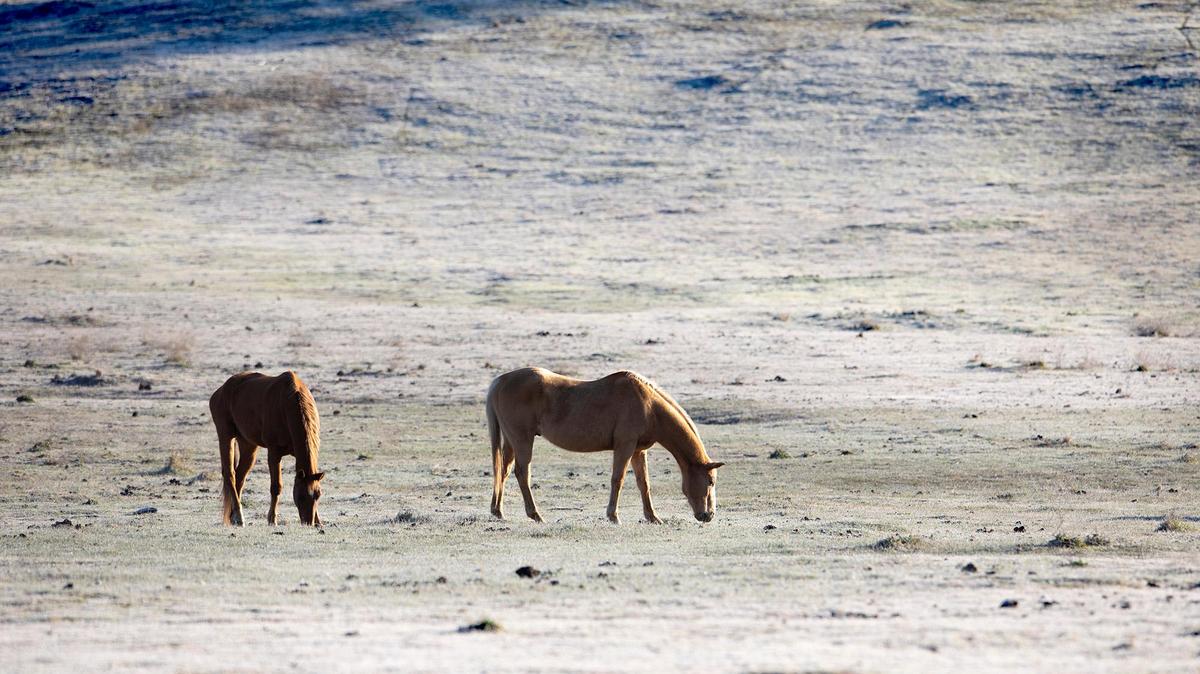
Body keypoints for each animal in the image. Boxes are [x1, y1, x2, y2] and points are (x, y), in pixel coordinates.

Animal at [208, 371, 325, 526]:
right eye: (300, 497)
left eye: (318, 495)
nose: (308, 522)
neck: (288, 403)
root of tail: (220, 391)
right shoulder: (274, 453)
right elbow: (276, 487)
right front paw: (272, 519)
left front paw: (318, 522)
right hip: (225, 436)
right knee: (230, 474)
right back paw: (239, 517)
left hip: (247, 444)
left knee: (239, 477)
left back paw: (234, 517)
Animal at [485, 367, 724, 524]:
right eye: (710, 481)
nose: (708, 515)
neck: (648, 405)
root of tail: (500, 382)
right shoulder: (625, 447)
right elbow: (618, 480)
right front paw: (613, 516)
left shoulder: (638, 451)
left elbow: (643, 483)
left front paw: (652, 517)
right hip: (523, 440)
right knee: (522, 473)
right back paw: (535, 514)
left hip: (511, 442)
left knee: (503, 472)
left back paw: (498, 511)